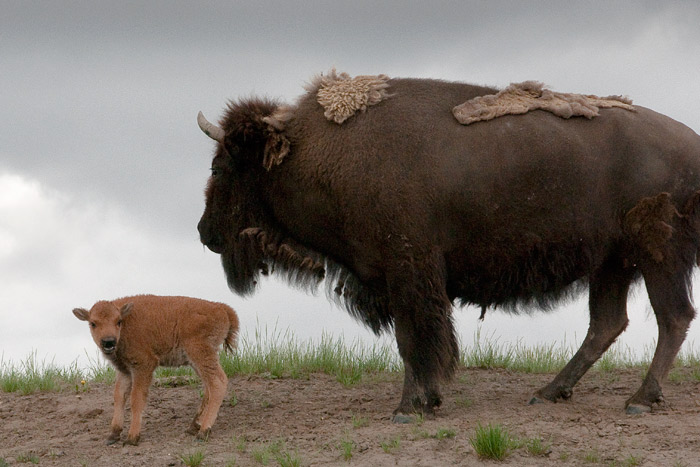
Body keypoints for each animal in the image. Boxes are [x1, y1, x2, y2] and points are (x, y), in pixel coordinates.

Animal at [72, 296, 239, 446]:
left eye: (118, 321)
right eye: (93, 323)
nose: (109, 342)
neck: (127, 323)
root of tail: (222, 308)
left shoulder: (143, 366)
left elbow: (136, 399)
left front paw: (132, 437)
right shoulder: (125, 371)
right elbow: (119, 396)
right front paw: (113, 435)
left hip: (200, 354)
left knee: (218, 382)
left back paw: (203, 431)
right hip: (196, 361)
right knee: (208, 387)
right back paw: (193, 426)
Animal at [194, 72, 700, 420]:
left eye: (220, 167)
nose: (204, 232)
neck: (309, 153)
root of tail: (692, 143)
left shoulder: (408, 273)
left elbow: (415, 340)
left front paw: (409, 407)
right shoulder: (400, 279)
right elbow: (415, 340)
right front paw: (426, 400)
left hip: (658, 255)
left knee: (673, 317)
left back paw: (640, 399)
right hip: (612, 262)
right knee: (607, 323)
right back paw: (548, 392)